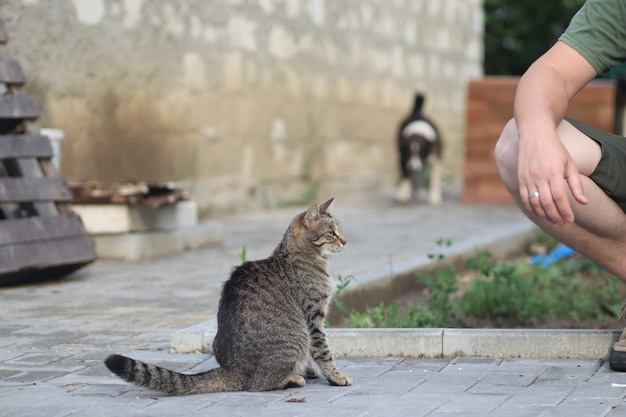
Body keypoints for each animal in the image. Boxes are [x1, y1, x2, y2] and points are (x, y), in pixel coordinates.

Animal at [105, 197, 354, 394]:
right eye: (332, 233)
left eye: (340, 230)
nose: (345, 241)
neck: (297, 254)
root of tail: (232, 369)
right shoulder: (314, 317)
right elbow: (323, 350)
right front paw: (335, 376)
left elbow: (314, 352)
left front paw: (311, 369)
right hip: (297, 334)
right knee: (259, 384)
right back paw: (293, 378)